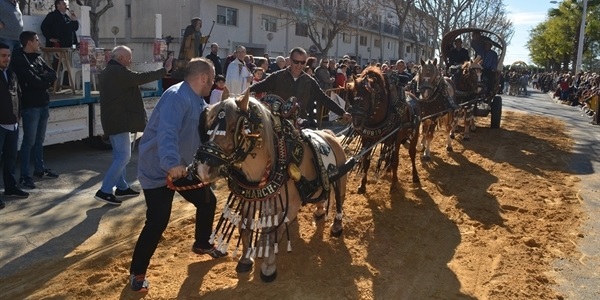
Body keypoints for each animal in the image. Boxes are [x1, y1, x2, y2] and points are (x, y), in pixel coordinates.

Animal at [195, 92, 350, 282]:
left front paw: (268, 267)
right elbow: (245, 229)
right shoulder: (249, 200)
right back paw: (320, 210)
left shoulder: (289, 207)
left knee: (340, 200)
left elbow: (273, 234)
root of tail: (329, 135)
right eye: (208, 128)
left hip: (340, 177)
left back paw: (337, 226)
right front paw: (245, 259)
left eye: (232, 129)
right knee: (323, 191)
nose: (203, 169)